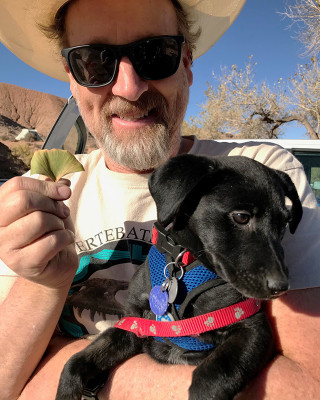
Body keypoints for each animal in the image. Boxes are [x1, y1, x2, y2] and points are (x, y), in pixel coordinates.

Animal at [55, 154, 302, 400]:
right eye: (241, 217)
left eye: (284, 223)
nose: (281, 287)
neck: (183, 265)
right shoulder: (135, 323)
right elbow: (78, 361)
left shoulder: (253, 327)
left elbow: (212, 376)